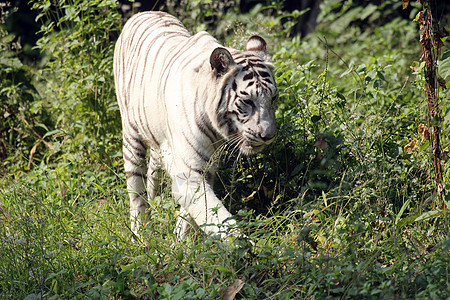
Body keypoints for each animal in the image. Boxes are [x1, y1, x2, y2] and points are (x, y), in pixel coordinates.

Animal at [113, 11, 278, 240]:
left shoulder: (205, 168)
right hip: (131, 136)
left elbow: (192, 215)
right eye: (247, 101)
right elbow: (216, 217)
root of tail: (142, 13)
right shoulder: (189, 171)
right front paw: (241, 246)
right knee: (136, 191)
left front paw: (180, 242)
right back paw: (141, 235)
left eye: (273, 98)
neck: (217, 130)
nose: (268, 136)